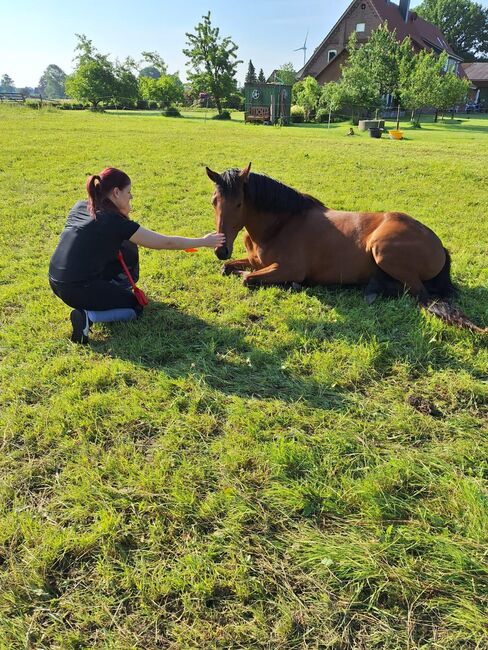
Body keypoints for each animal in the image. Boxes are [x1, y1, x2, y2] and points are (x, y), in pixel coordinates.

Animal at [205, 160, 484, 332]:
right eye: (214, 201)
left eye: (239, 203)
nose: (221, 249)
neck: (280, 225)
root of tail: (439, 245)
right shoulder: (254, 260)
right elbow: (230, 269)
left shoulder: (288, 269)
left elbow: (247, 278)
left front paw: (292, 284)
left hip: (383, 251)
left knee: (420, 295)